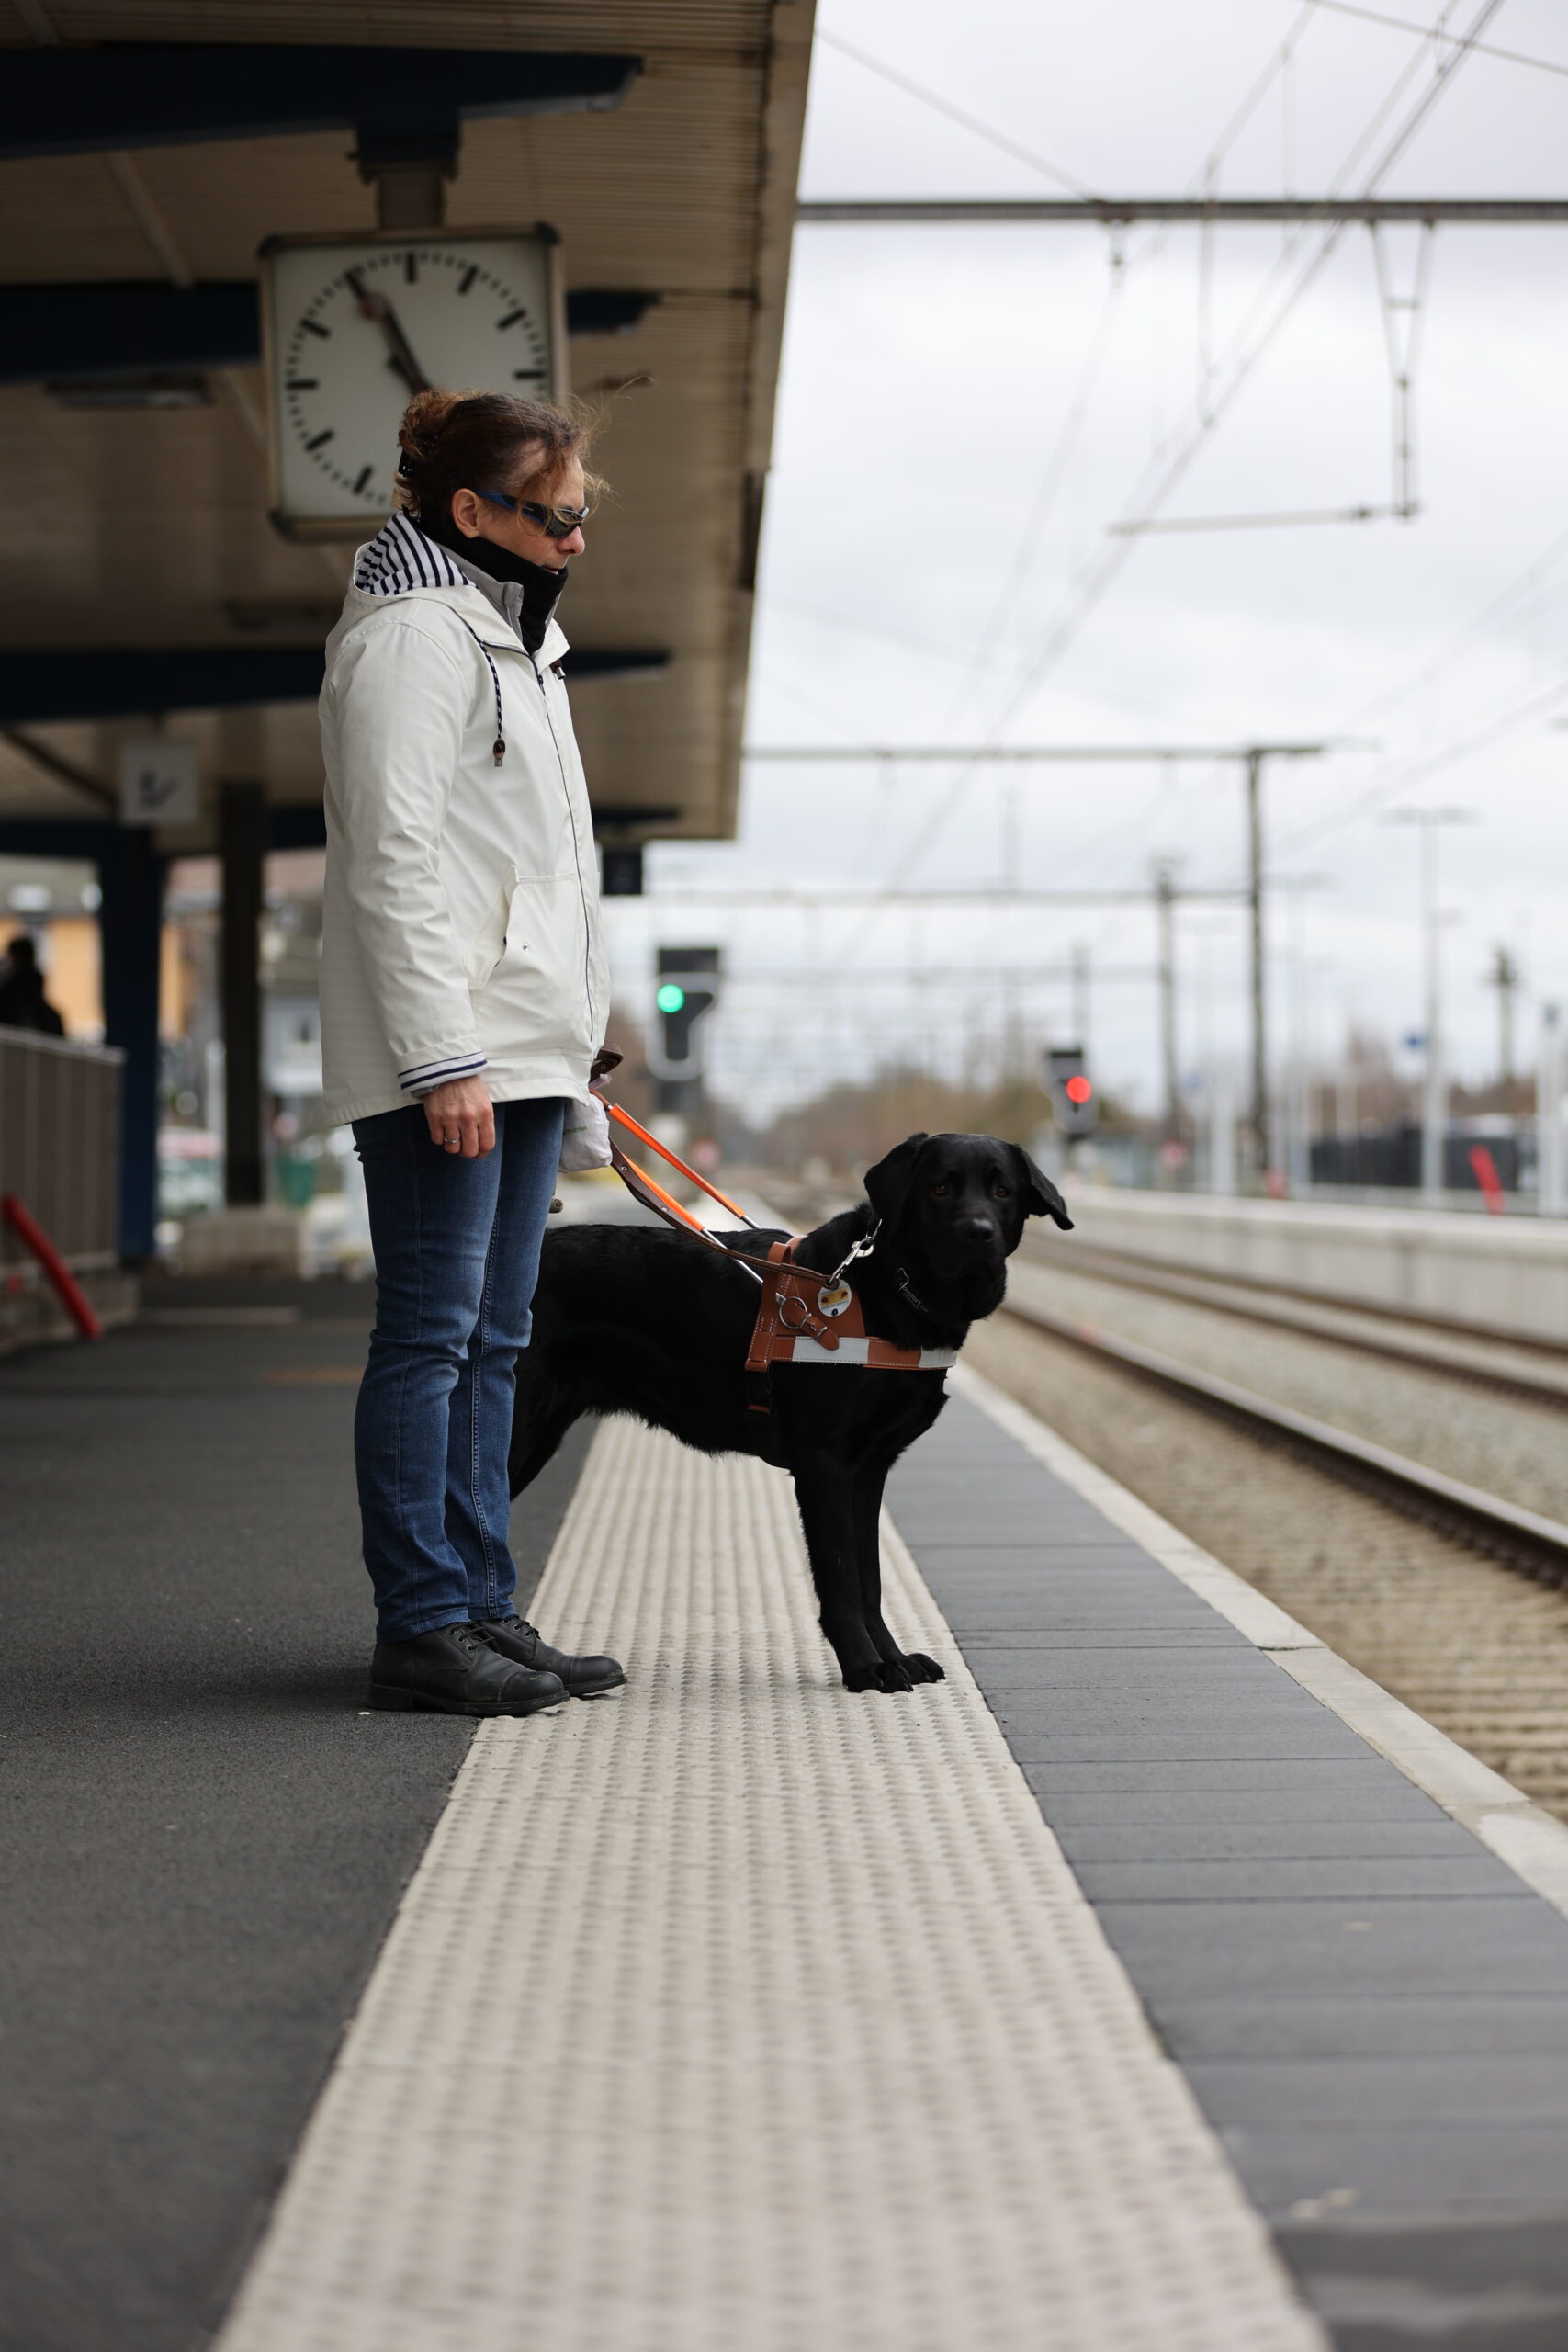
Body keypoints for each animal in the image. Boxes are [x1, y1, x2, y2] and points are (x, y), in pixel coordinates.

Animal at [510, 1124, 1072, 1693]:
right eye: (939, 1189)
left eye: (1002, 1192)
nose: (978, 1234)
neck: (886, 1288)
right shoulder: (825, 1465)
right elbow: (842, 1577)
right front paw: (865, 1667)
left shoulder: (869, 1471)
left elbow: (869, 1581)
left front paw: (892, 1657)